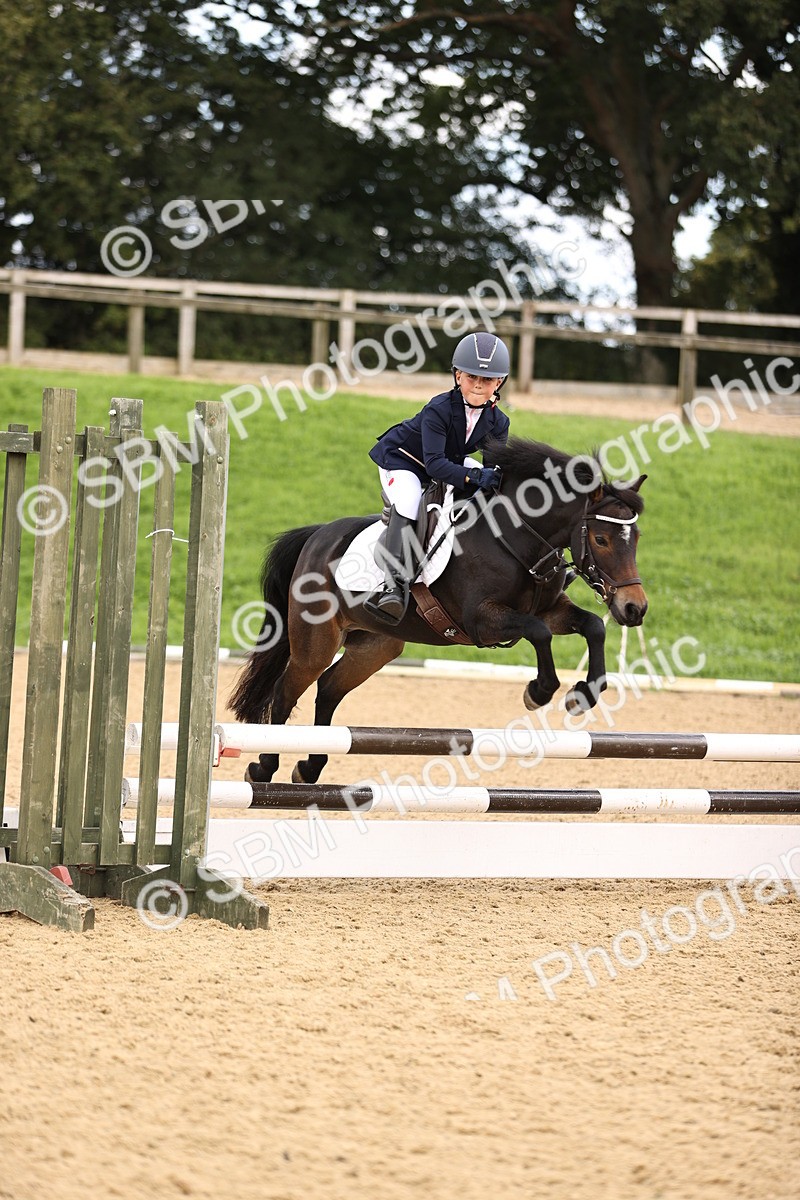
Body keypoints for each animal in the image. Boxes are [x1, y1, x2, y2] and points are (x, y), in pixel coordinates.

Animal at [230, 436, 648, 784]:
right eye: (601, 539)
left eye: (636, 538)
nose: (634, 608)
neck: (517, 537)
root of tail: (317, 536)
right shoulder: (482, 621)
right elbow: (538, 632)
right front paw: (539, 691)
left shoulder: (551, 610)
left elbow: (592, 626)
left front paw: (583, 695)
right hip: (315, 642)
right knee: (287, 691)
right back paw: (263, 767)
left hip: (376, 645)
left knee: (330, 689)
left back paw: (310, 767)